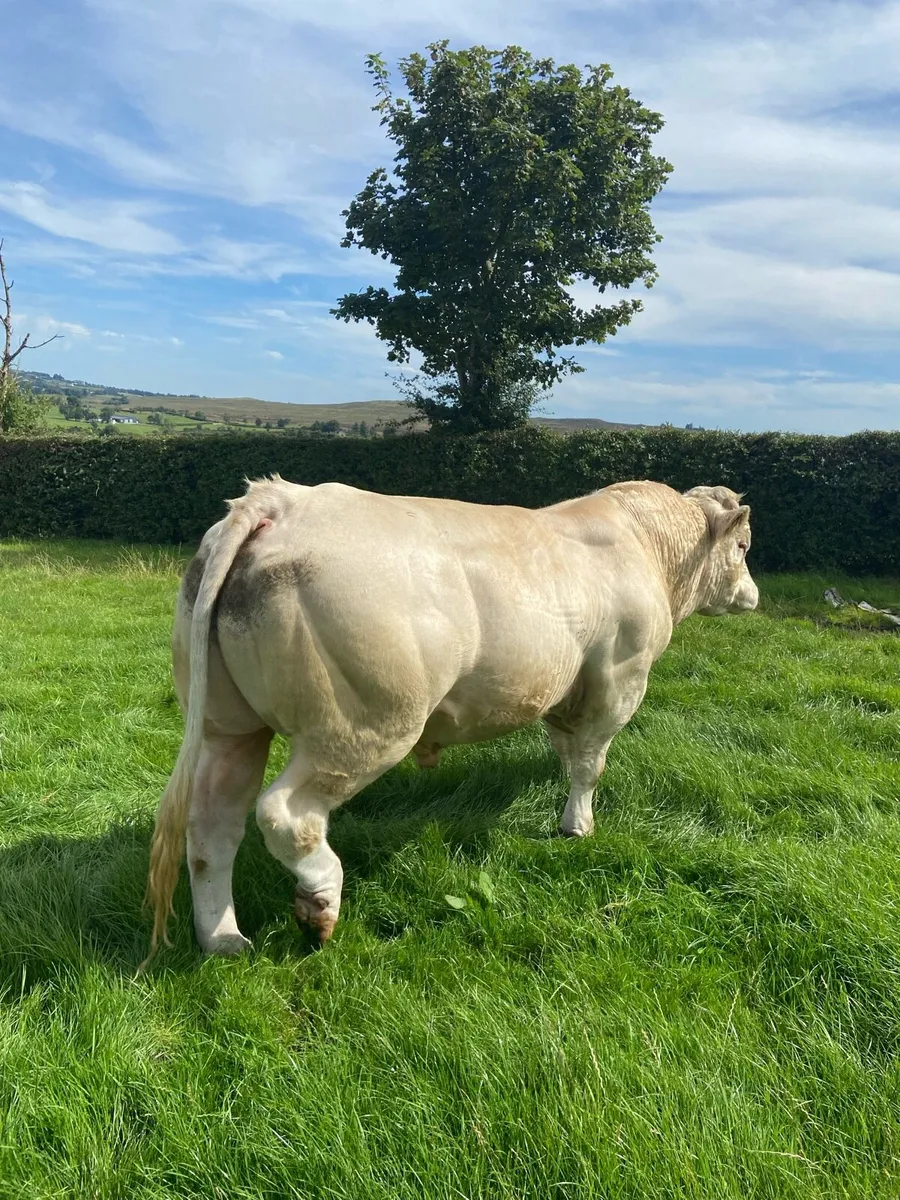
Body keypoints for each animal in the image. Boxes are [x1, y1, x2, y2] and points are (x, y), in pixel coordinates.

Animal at [144, 476, 758, 960]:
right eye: (744, 544)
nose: (752, 596)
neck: (646, 546)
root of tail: (281, 501)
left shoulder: (565, 691)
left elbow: (567, 750)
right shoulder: (619, 678)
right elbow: (590, 764)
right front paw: (577, 826)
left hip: (229, 726)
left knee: (212, 826)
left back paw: (222, 938)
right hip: (363, 725)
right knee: (285, 814)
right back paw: (320, 905)